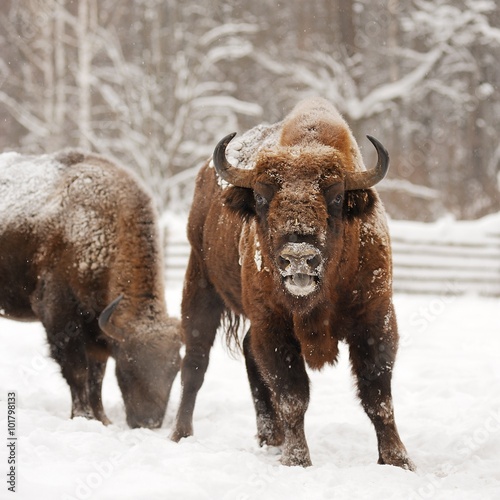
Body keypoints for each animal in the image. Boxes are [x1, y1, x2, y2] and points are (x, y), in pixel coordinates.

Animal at [0, 149, 183, 430]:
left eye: (176, 368)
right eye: (127, 367)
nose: (149, 422)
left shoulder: (96, 332)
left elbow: (97, 375)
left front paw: (103, 418)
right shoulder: (60, 318)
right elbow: (78, 371)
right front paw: (83, 416)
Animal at [172, 96, 414, 468]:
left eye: (335, 197)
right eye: (261, 196)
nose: (298, 255)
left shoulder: (375, 318)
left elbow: (378, 396)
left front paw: (398, 460)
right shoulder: (274, 325)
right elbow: (293, 395)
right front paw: (297, 459)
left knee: (247, 355)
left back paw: (270, 438)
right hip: (200, 284)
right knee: (195, 365)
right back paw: (181, 435)